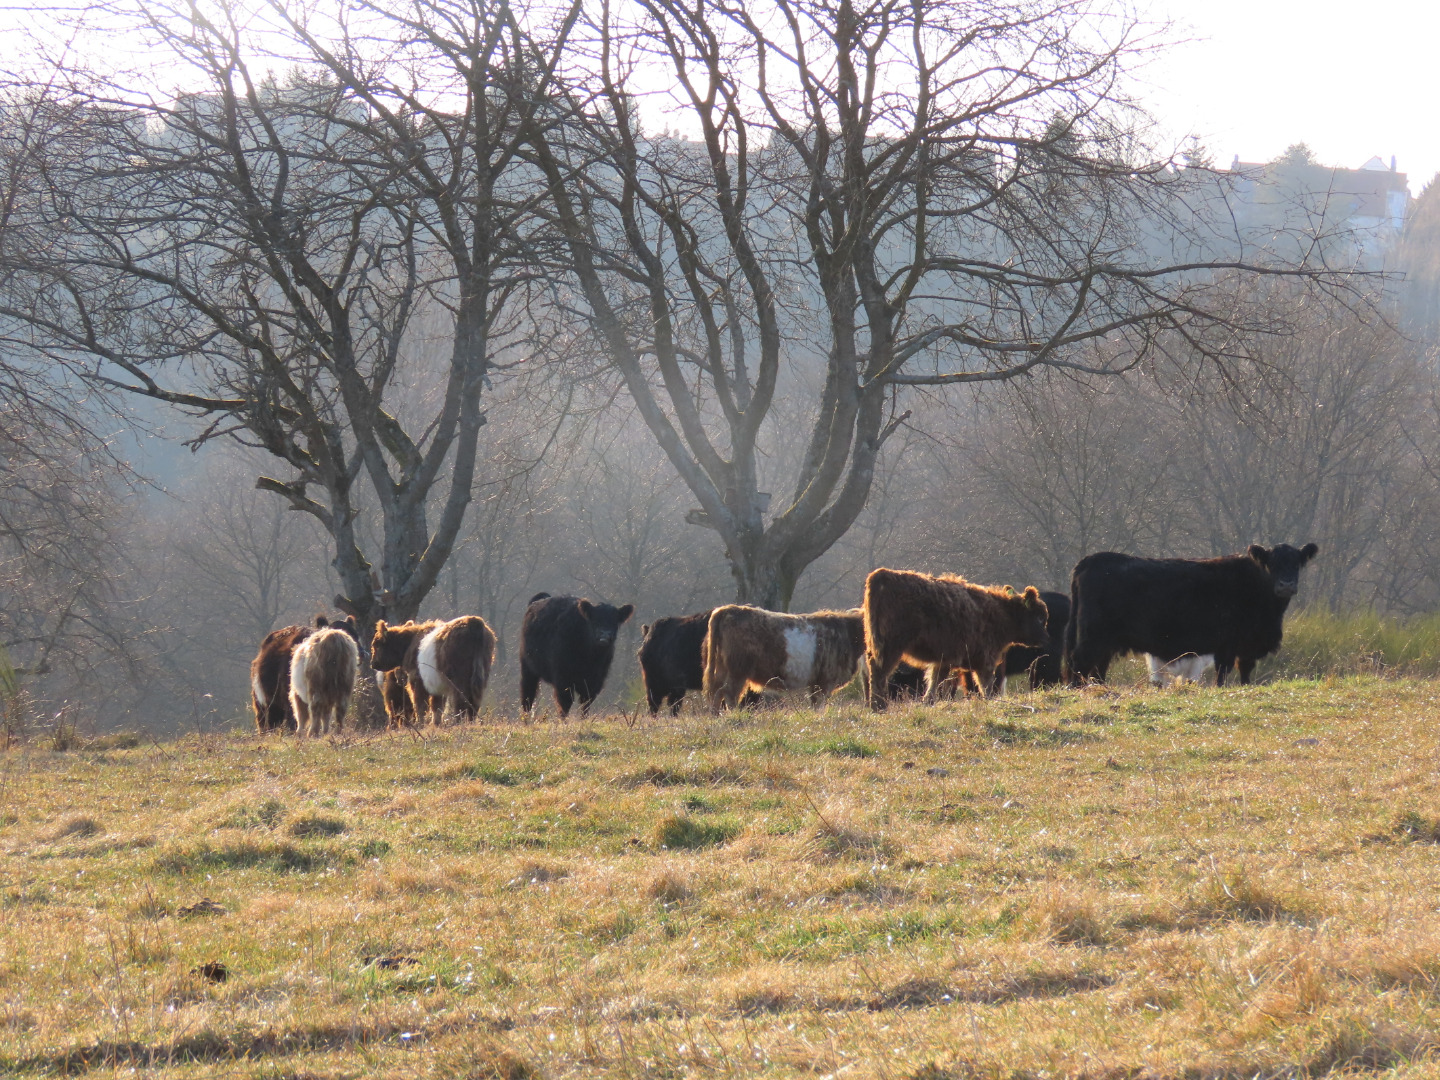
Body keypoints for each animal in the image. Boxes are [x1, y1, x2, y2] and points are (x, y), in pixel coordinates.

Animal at [368, 616, 498, 728]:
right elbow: (437, 706)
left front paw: (420, 724)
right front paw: (436, 724)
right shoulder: (436, 684)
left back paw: (458, 722)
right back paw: (470, 721)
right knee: (474, 700)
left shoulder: (417, 680)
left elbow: (420, 705)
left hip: (459, 677)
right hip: (481, 674)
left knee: (461, 699)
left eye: (376, 644)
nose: (373, 664)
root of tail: (474, 622)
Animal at [699, 604, 858, 714]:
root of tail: (729, 609)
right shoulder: (825, 681)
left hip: (722, 669)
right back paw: (735, 715)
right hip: (738, 671)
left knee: (717, 692)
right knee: (728, 693)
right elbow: (819, 705)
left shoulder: (816, 683)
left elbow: (815, 704)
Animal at [858, 567, 1054, 711]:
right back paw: (879, 706)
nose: (1046, 639)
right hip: (890, 646)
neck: (1000, 613)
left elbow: (934, 682)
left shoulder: (943, 660)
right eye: (1039, 617)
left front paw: (928, 702)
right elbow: (986, 685)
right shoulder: (986, 660)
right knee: (879, 672)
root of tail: (882, 574)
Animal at [1065, 544, 1319, 688]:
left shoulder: (1245, 646)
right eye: (1271, 563)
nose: (1286, 585)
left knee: (1097, 669)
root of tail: (1090, 560)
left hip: (1105, 641)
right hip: (1093, 636)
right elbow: (1223, 673)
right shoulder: (1228, 644)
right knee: (1081, 663)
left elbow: (1245, 672)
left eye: (1297, 563)